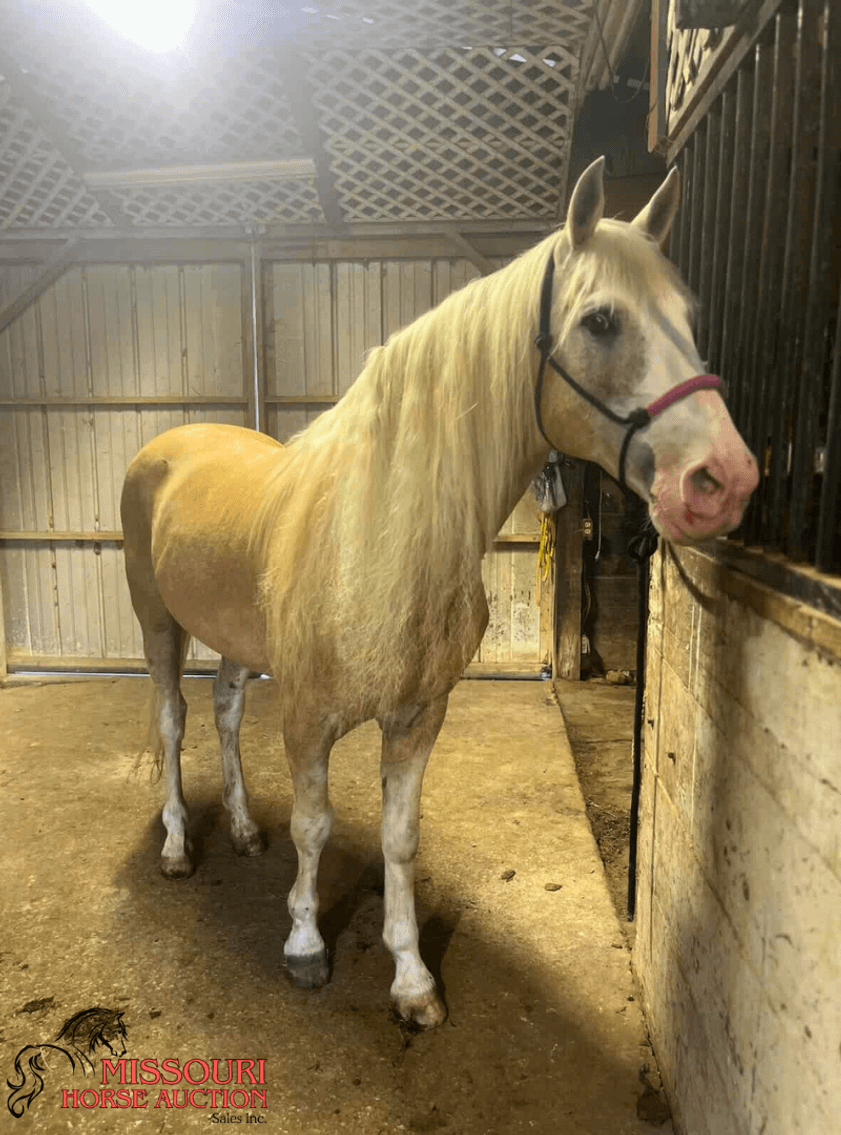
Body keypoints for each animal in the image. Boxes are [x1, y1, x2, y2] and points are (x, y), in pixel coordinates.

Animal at [120, 157, 759, 1029]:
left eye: (689, 316)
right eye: (600, 321)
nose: (722, 480)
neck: (379, 536)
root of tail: (169, 443)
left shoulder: (419, 716)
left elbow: (400, 838)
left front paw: (412, 980)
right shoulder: (308, 716)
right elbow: (316, 826)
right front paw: (305, 946)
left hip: (231, 638)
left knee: (221, 711)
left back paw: (246, 831)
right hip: (158, 624)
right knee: (173, 719)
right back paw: (180, 847)